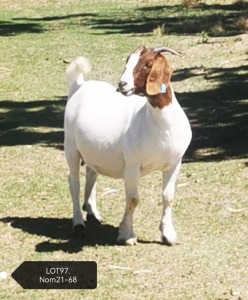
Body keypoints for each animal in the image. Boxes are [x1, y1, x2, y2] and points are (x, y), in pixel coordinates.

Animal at [64, 45, 192, 245]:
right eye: (127, 61)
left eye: (148, 64)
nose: (122, 85)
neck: (161, 126)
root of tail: (79, 85)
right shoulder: (132, 165)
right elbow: (133, 199)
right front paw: (127, 234)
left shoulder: (174, 163)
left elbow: (168, 196)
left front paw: (168, 234)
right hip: (71, 147)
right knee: (74, 182)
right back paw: (78, 224)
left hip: (92, 151)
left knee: (91, 174)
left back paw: (92, 211)